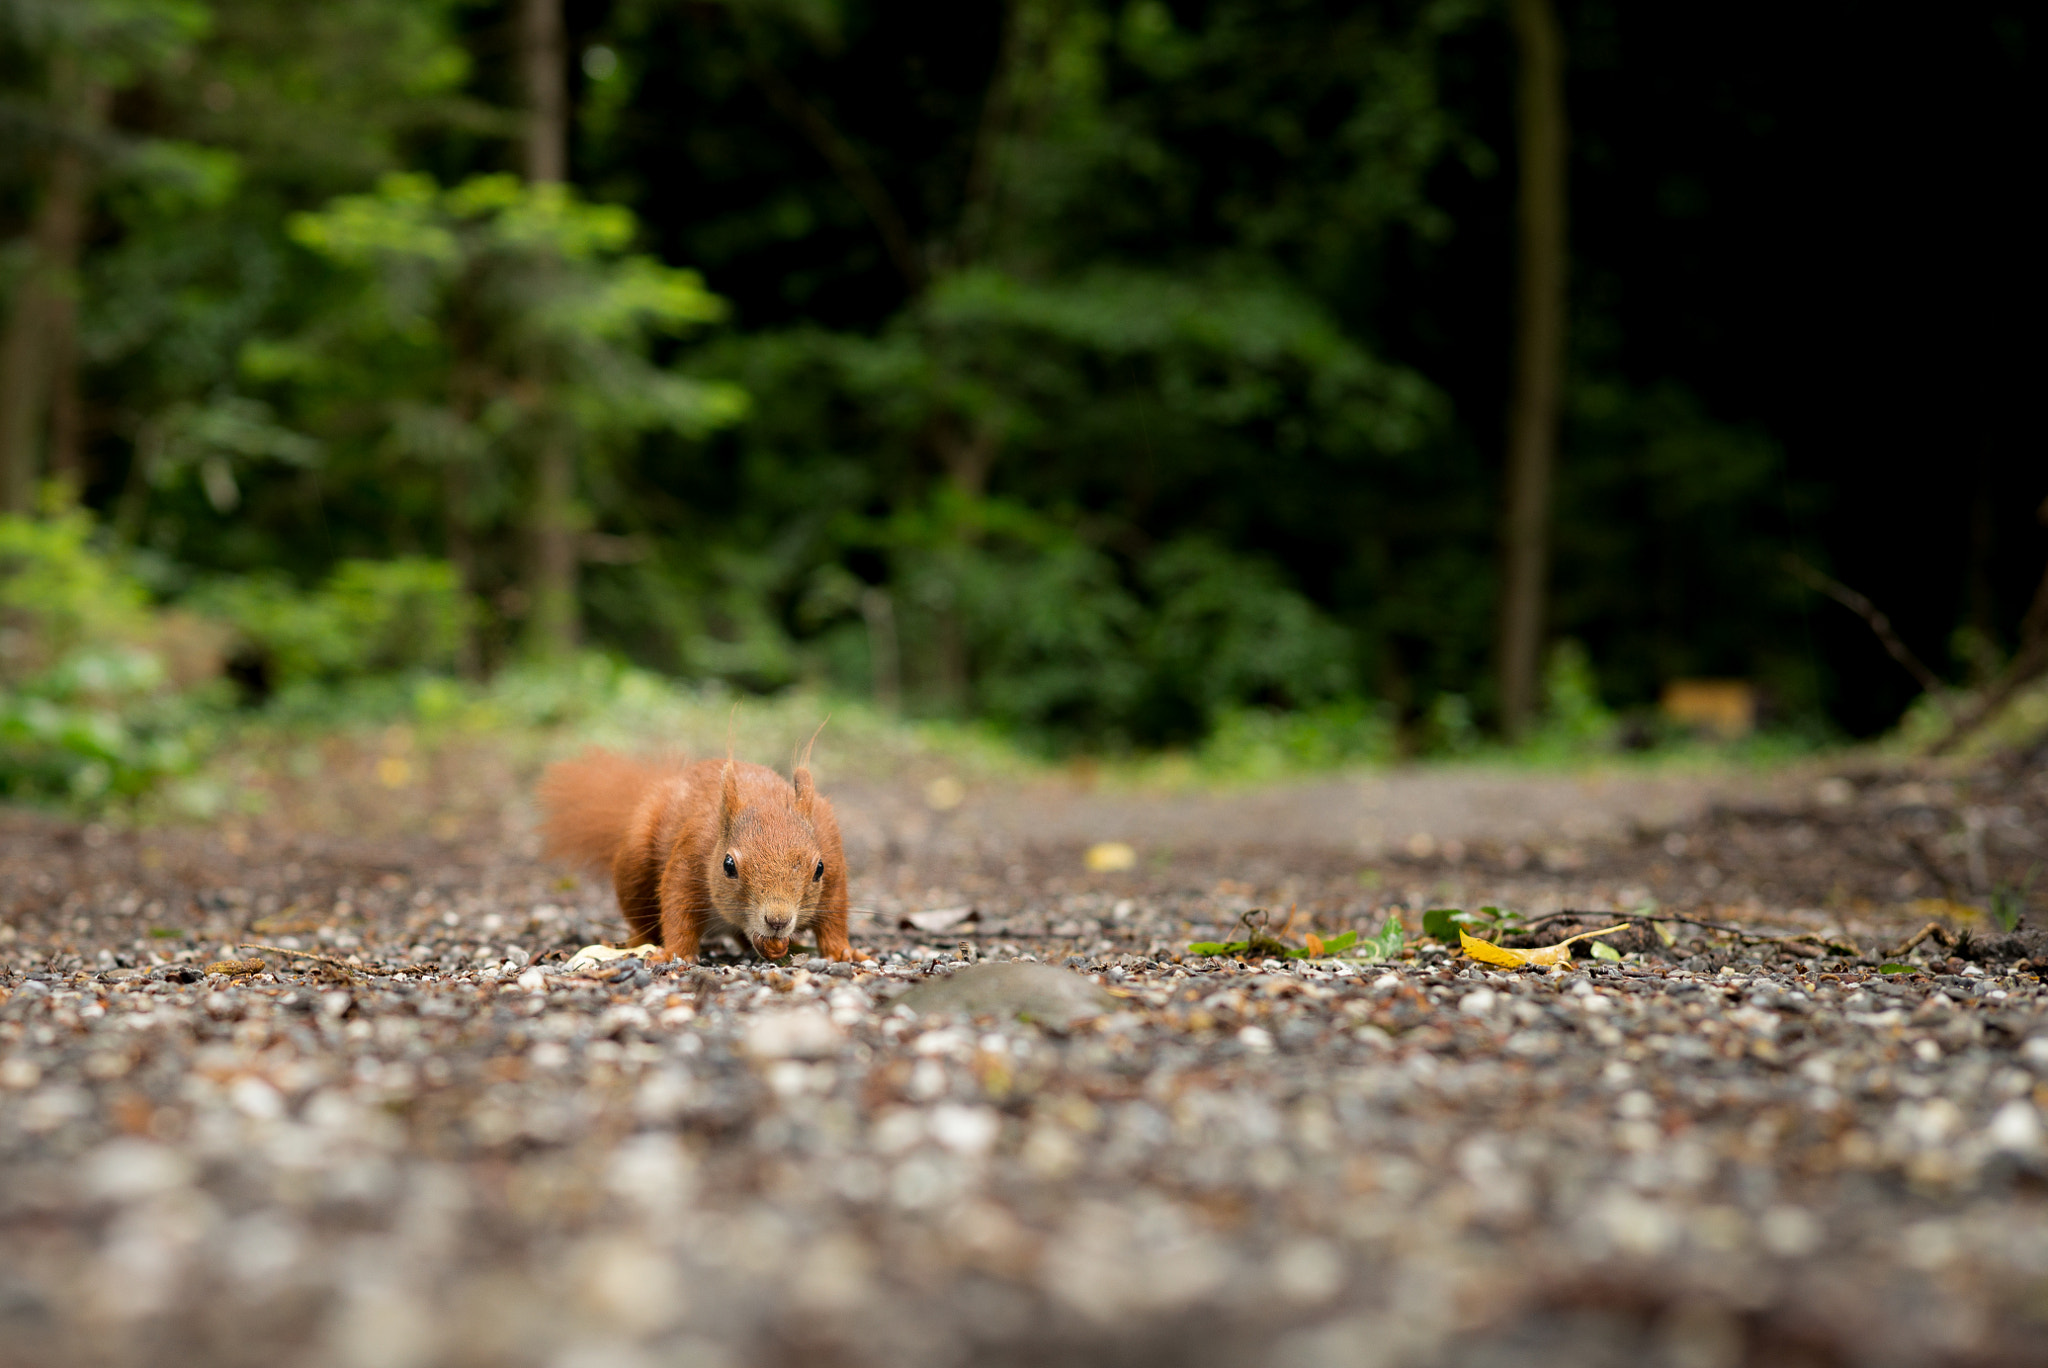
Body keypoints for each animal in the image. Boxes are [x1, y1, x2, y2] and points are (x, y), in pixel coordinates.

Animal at [536, 749, 856, 962]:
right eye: (728, 865)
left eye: (819, 869)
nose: (777, 921)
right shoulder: (690, 855)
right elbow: (678, 909)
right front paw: (672, 955)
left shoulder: (833, 858)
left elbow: (834, 919)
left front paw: (845, 952)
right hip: (634, 866)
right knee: (640, 920)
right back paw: (638, 944)